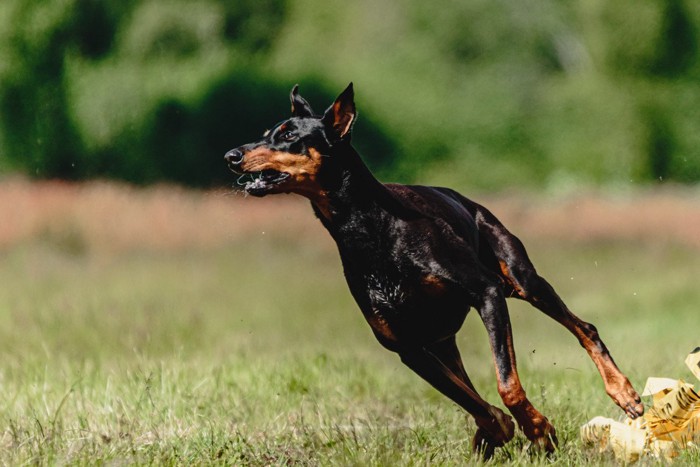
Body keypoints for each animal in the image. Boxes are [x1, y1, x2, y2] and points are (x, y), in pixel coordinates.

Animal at [226, 84, 644, 460]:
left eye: (289, 135)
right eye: (266, 132)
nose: (232, 155)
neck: (370, 229)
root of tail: (465, 199)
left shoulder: (487, 293)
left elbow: (506, 385)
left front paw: (539, 431)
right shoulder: (405, 344)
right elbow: (472, 401)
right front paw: (502, 430)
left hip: (519, 276)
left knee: (583, 327)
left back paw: (624, 393)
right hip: (443, 339)